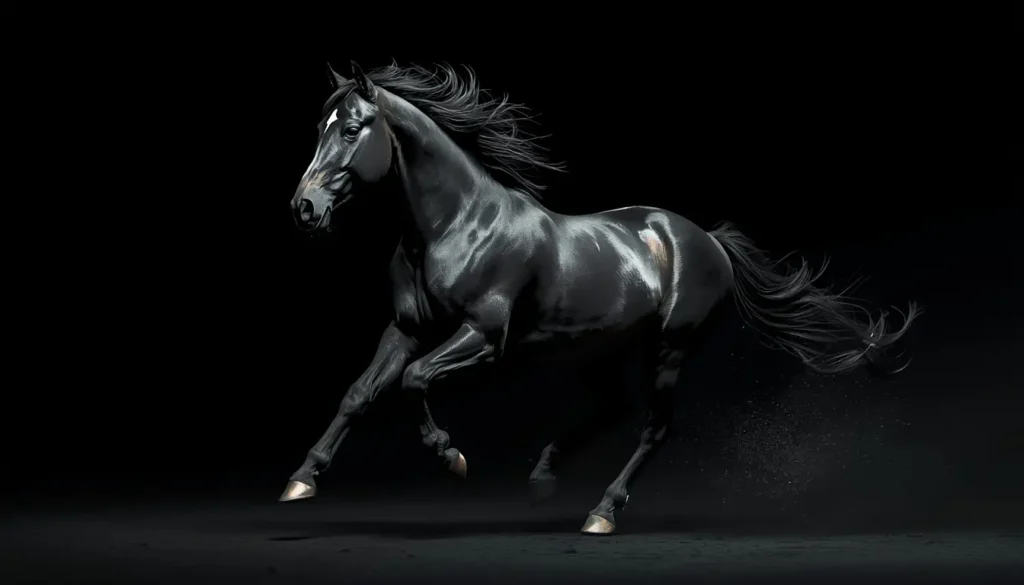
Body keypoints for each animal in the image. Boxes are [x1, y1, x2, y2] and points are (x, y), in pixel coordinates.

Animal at [279, 61, 919, 535]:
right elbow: (358, 394)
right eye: (319, 128)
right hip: (601, 348)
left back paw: (601, 512)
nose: (304, 208)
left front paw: (451, 456)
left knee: (654, 429)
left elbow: (414, 381)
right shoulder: (405, 329)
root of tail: (709, 239)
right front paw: (302, 479)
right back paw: (544, 477)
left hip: (669, 348)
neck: (452, 224)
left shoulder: (484, 336)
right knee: (612, 410)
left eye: (352, 129)